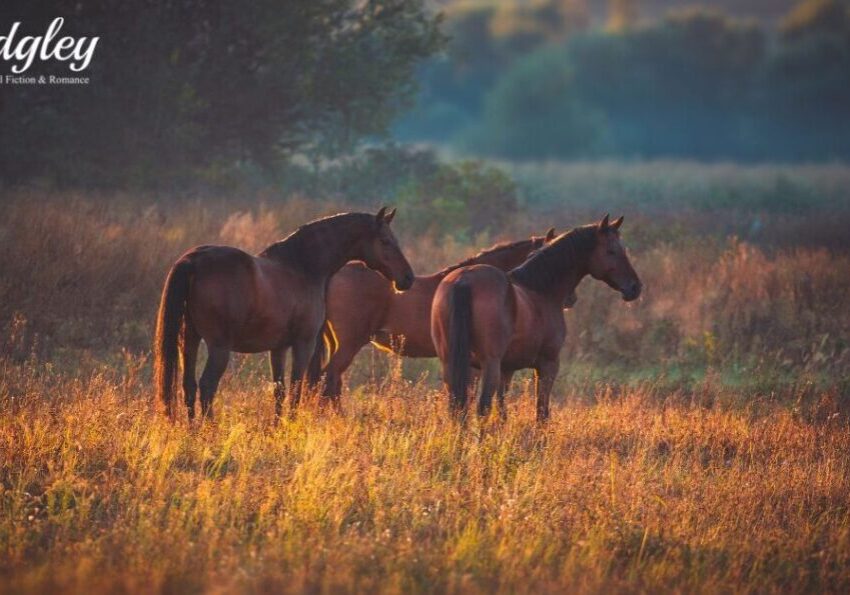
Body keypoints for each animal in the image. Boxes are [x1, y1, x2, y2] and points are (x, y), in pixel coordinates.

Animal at [154, 207, 414, 420]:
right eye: (385, 241)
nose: (408, 278)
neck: (302, 267)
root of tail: (193, 260)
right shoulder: (303, 344)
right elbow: (296, 388)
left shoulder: (278, 348)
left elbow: (279, 391)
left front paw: (277, 428)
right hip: (219, 348)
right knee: (207, 386)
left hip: (189, 340)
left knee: (189, 386)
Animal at [431, 215, 641, 423]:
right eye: (612, 251)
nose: (635, 287)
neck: (541, 289)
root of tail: (463, 280)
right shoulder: (548, 364)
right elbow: (542, 413)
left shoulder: (507, 369)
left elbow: (502, 412)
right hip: (488, 364)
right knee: (482, 408)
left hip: (452, 364)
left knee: (458, 409)